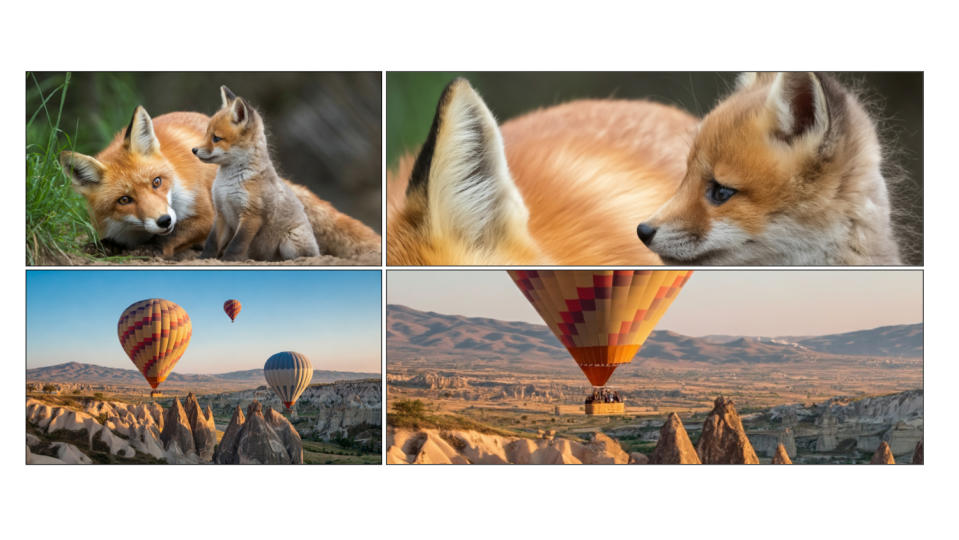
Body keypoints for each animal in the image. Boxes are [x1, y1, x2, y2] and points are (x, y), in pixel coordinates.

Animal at [59, 107, 216, 257]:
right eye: (124, 200)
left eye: (156, 182)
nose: (164, 221)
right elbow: (112, 239)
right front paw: (101, 246)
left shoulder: (206, 216)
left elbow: (171, 234)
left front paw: (150, 247)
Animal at [193, 86, 320, 261]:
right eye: (206, 134)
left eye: (216, 138)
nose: (194, 150)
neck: (227, 185)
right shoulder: (222, 213)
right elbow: (212, 242)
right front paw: (204, 258)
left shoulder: (252, 215)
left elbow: (237, 244)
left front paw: (229, 260)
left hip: (290, 242)